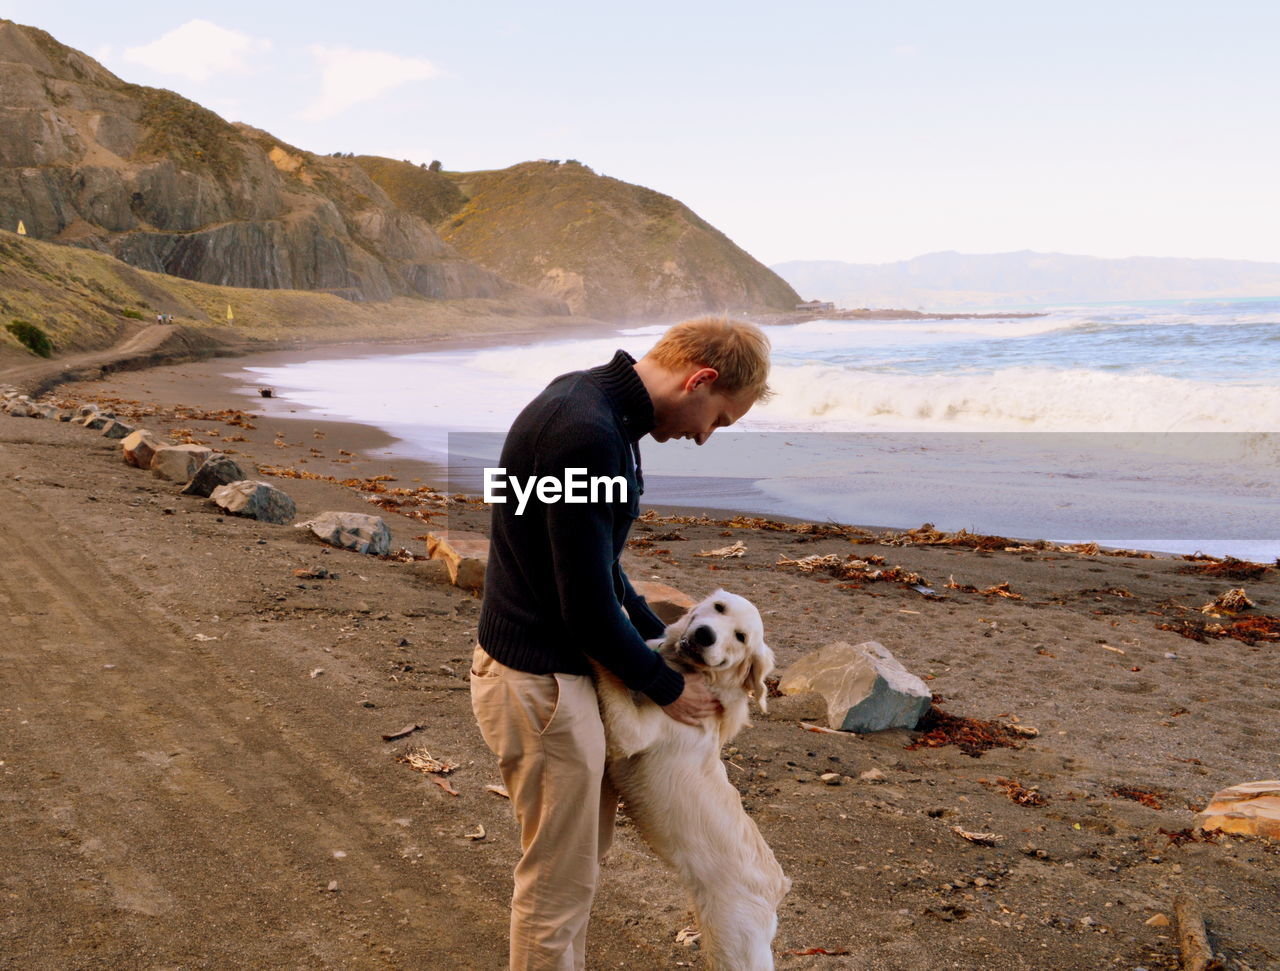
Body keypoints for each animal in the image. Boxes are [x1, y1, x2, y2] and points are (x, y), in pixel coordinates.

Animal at [596, 593, 788, 971]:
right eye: (718, 608)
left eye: (741, 637)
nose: (704, 635)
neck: (693, 676)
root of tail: (776, 888)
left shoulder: (630, 732)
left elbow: (609, 675)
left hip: (734, 945)